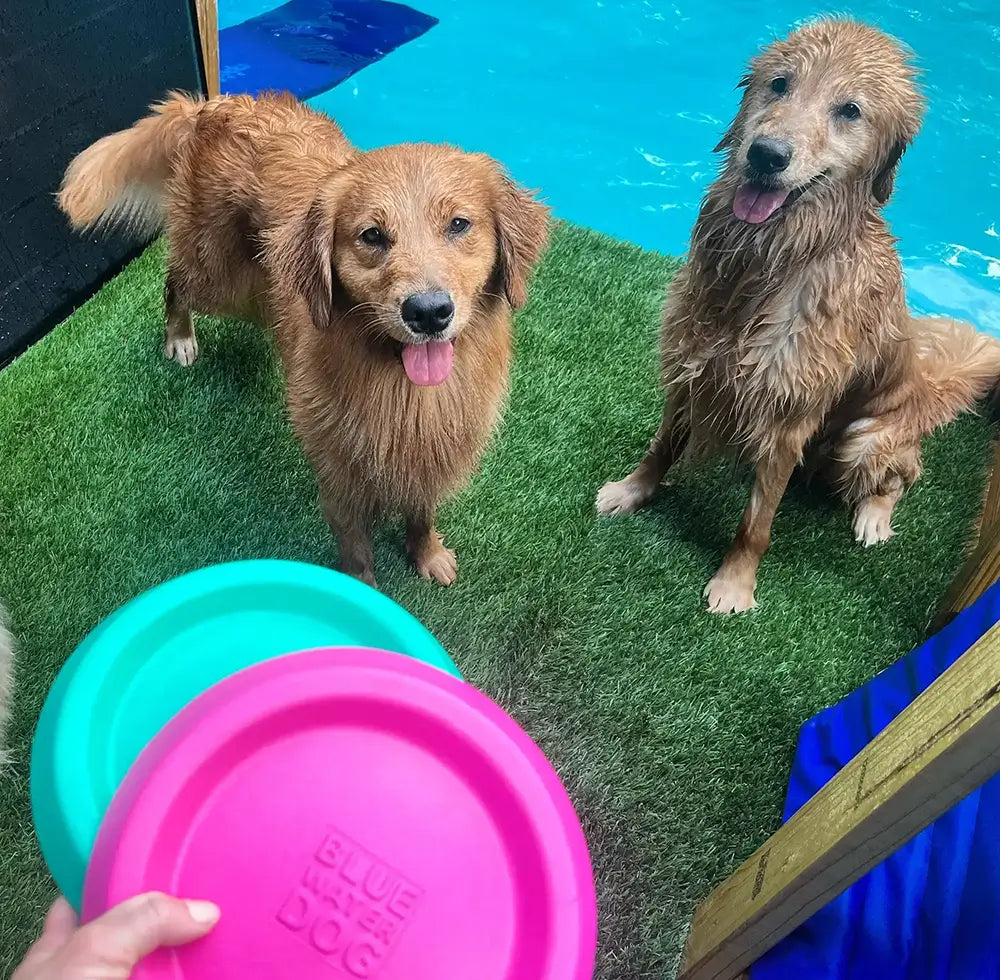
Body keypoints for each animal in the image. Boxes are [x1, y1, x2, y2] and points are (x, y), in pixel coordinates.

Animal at [58, 92, 552, 584]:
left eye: (459, 225)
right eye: (372, 235)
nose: (428, 312)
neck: (406, 393)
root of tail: (215, 104)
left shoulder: (432, 459)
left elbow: (421, 512)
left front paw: (427, 553)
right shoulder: (340, 481)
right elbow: (358, 556)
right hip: (220, 279)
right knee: (175, 281)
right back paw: (179, 338)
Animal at [596, 21, 1000, 612]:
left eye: (850, 110)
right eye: (780, 83)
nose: (766, 155)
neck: (769, 259)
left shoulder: (788, 414)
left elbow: (756, 524)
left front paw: (734, 583)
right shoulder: (691, 364)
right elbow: (663, 445)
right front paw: (632, 491)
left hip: (866, 438)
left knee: (901, 476)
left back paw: (874, 516)